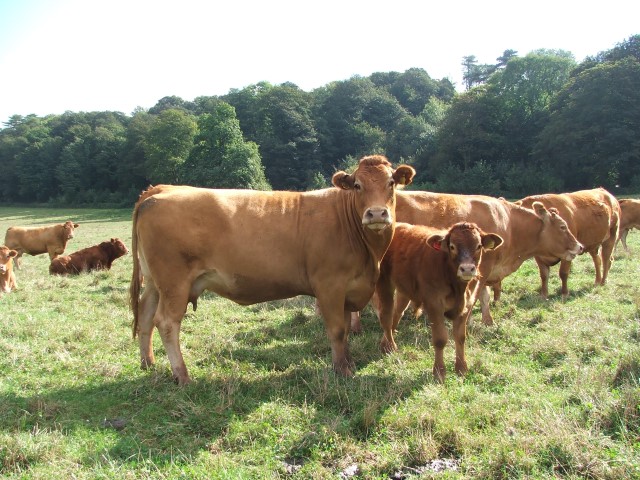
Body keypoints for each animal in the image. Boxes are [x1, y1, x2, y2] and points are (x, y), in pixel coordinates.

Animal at [129, 155, 416, 385]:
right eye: (357, 185)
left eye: (391, 183)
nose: (376, 214)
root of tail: (159, 191)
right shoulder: (330, 286)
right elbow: (336, 330)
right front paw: (342, 371)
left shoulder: (348, 290)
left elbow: (345, 330)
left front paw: (348, 364)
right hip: (174, 282)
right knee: (166, 322)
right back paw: (183, 375)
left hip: (155, 282)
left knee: (145, 314)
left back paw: (148, 362)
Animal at [351, 191, 583, 330]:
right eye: (563, 226)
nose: (579, 247)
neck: (508, 223)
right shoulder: (481, 268)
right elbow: (476, 297)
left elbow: (484, 297)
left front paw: (487, 321)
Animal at [375, 222, 503, 382]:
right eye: (452, 246)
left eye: (478, 246)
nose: (467, 269)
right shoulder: (434, 305)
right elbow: (440, 339)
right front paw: (439, 372)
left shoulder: (465, 307)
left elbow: (460, 337)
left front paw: (461, 368)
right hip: (384, 283)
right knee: (386, 315)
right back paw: (389, 346)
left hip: (404, 289)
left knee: (398, 312)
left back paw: (387, 340)